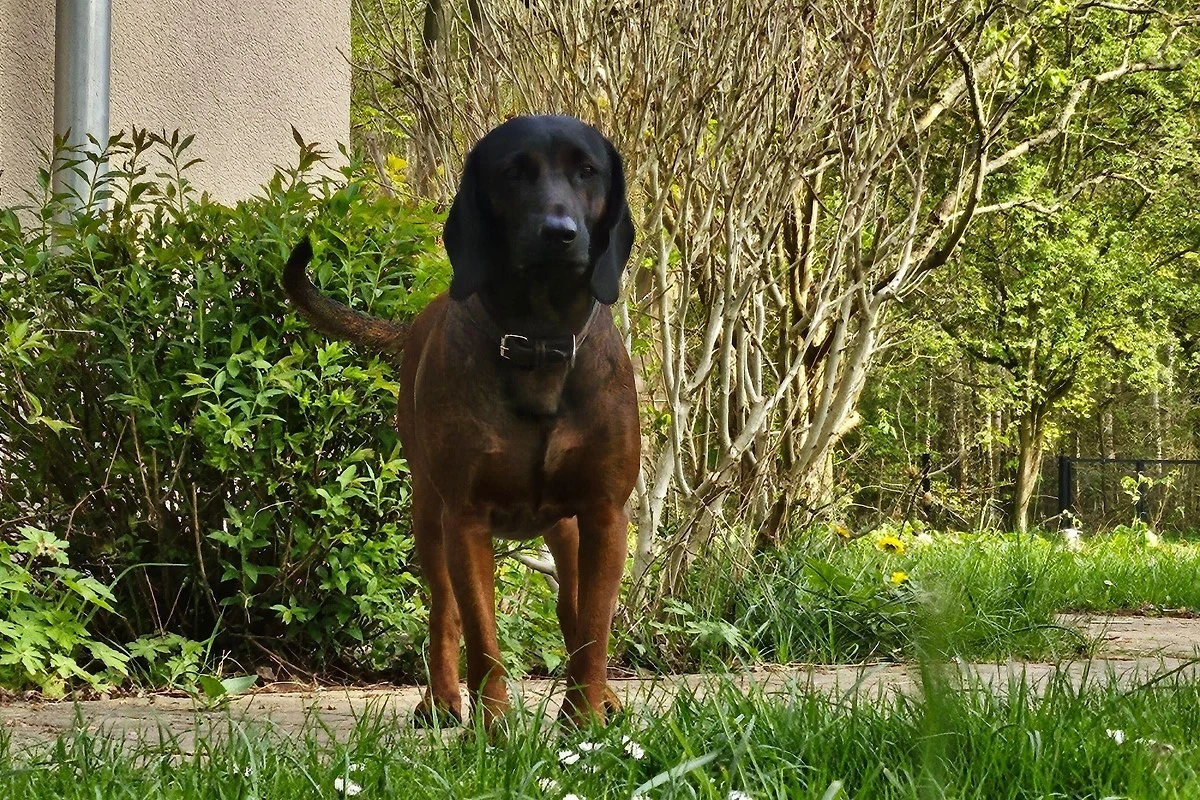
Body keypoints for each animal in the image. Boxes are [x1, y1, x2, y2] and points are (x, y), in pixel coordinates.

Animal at [282, 115, 639, 728]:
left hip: (565, 527)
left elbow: (592, 628)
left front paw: (586, 719)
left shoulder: (604, 512)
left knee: (570, 607)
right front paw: (494, 729)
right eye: (513, 172)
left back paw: (599, 698)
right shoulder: (466, 516)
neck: (539, 340)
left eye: (587, 170)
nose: (559, 232)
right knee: (443, 609)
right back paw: (443, 698)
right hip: (429, 514)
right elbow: (481, 636)